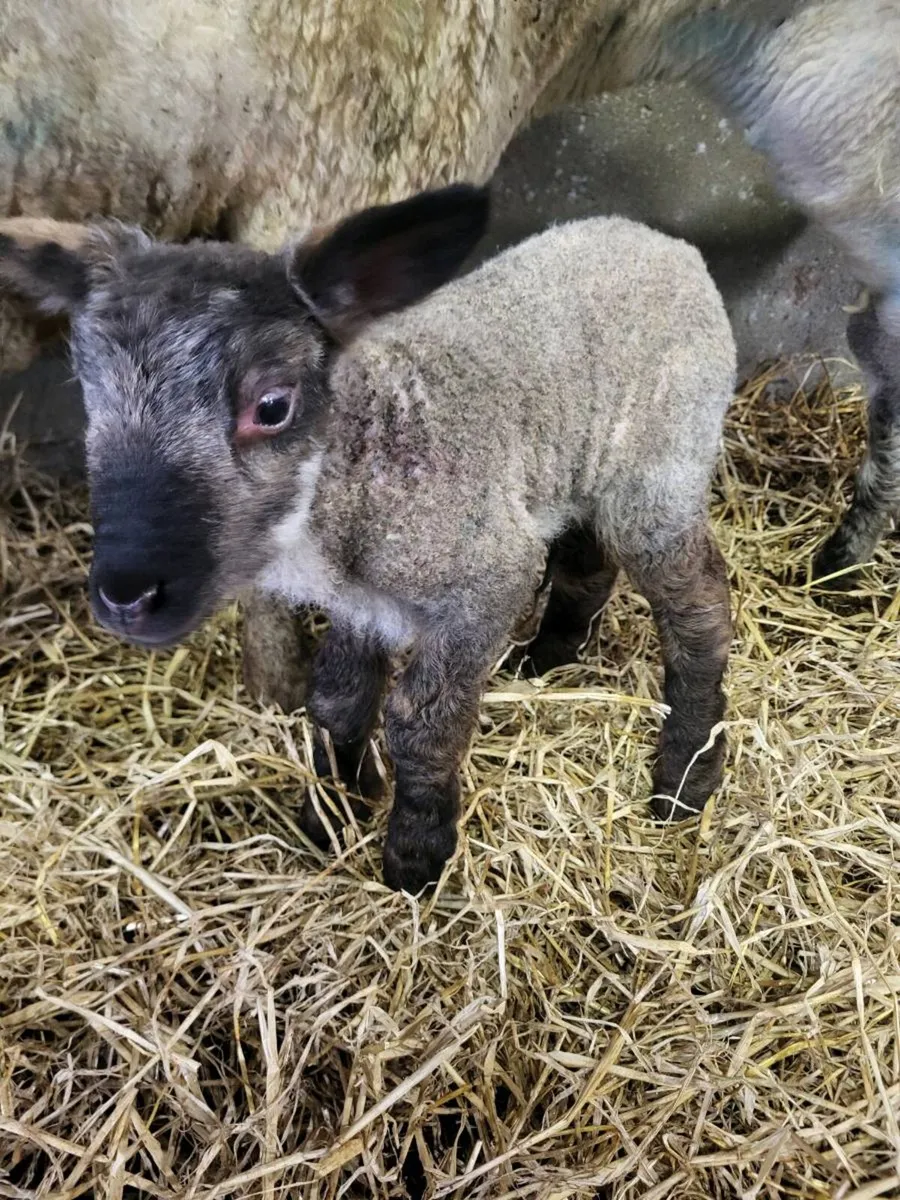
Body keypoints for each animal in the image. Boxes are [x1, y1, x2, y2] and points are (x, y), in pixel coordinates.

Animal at [0, 184, 736, 892]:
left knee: (699, 603)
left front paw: (415, 858)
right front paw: (331, 813)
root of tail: (666, 244)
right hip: (586, 465)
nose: (127, 596)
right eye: (91, 397)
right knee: (589, 559)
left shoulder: (484, 578)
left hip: (661, 464)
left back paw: (685, 776)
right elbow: (337, 698)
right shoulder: (361, 602)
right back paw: (549, 656)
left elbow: (419, 723)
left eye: (273, 406)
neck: (360, 463)